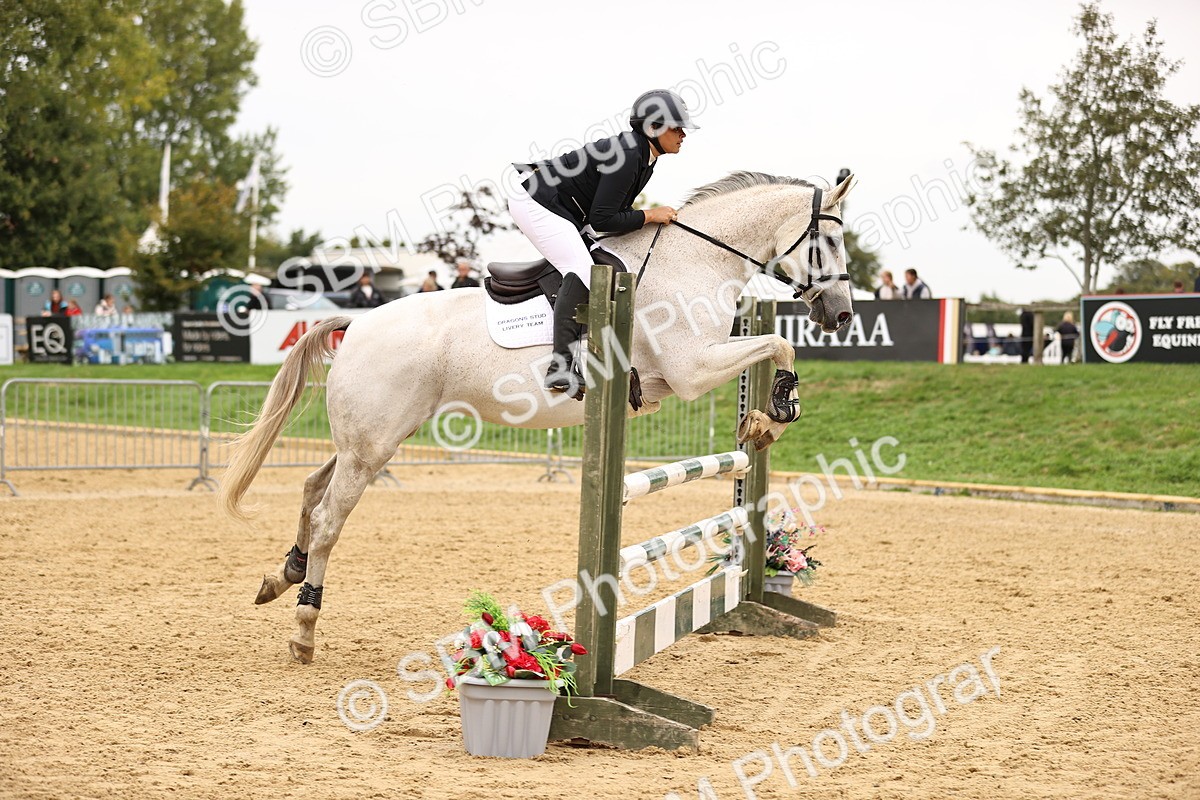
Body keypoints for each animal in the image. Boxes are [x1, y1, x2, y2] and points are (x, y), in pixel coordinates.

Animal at [220, 170, 857, 662]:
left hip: (371, 439)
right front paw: (774, 415)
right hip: (373, 443)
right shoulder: (693, 369)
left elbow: (776, 346)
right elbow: (779, 342)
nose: (843, 316)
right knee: (330, 517)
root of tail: (357, 323)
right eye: (827, 243)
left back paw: (282, 577)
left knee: (311, 489)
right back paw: (304, 627)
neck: (693, 261)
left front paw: (764, 419)